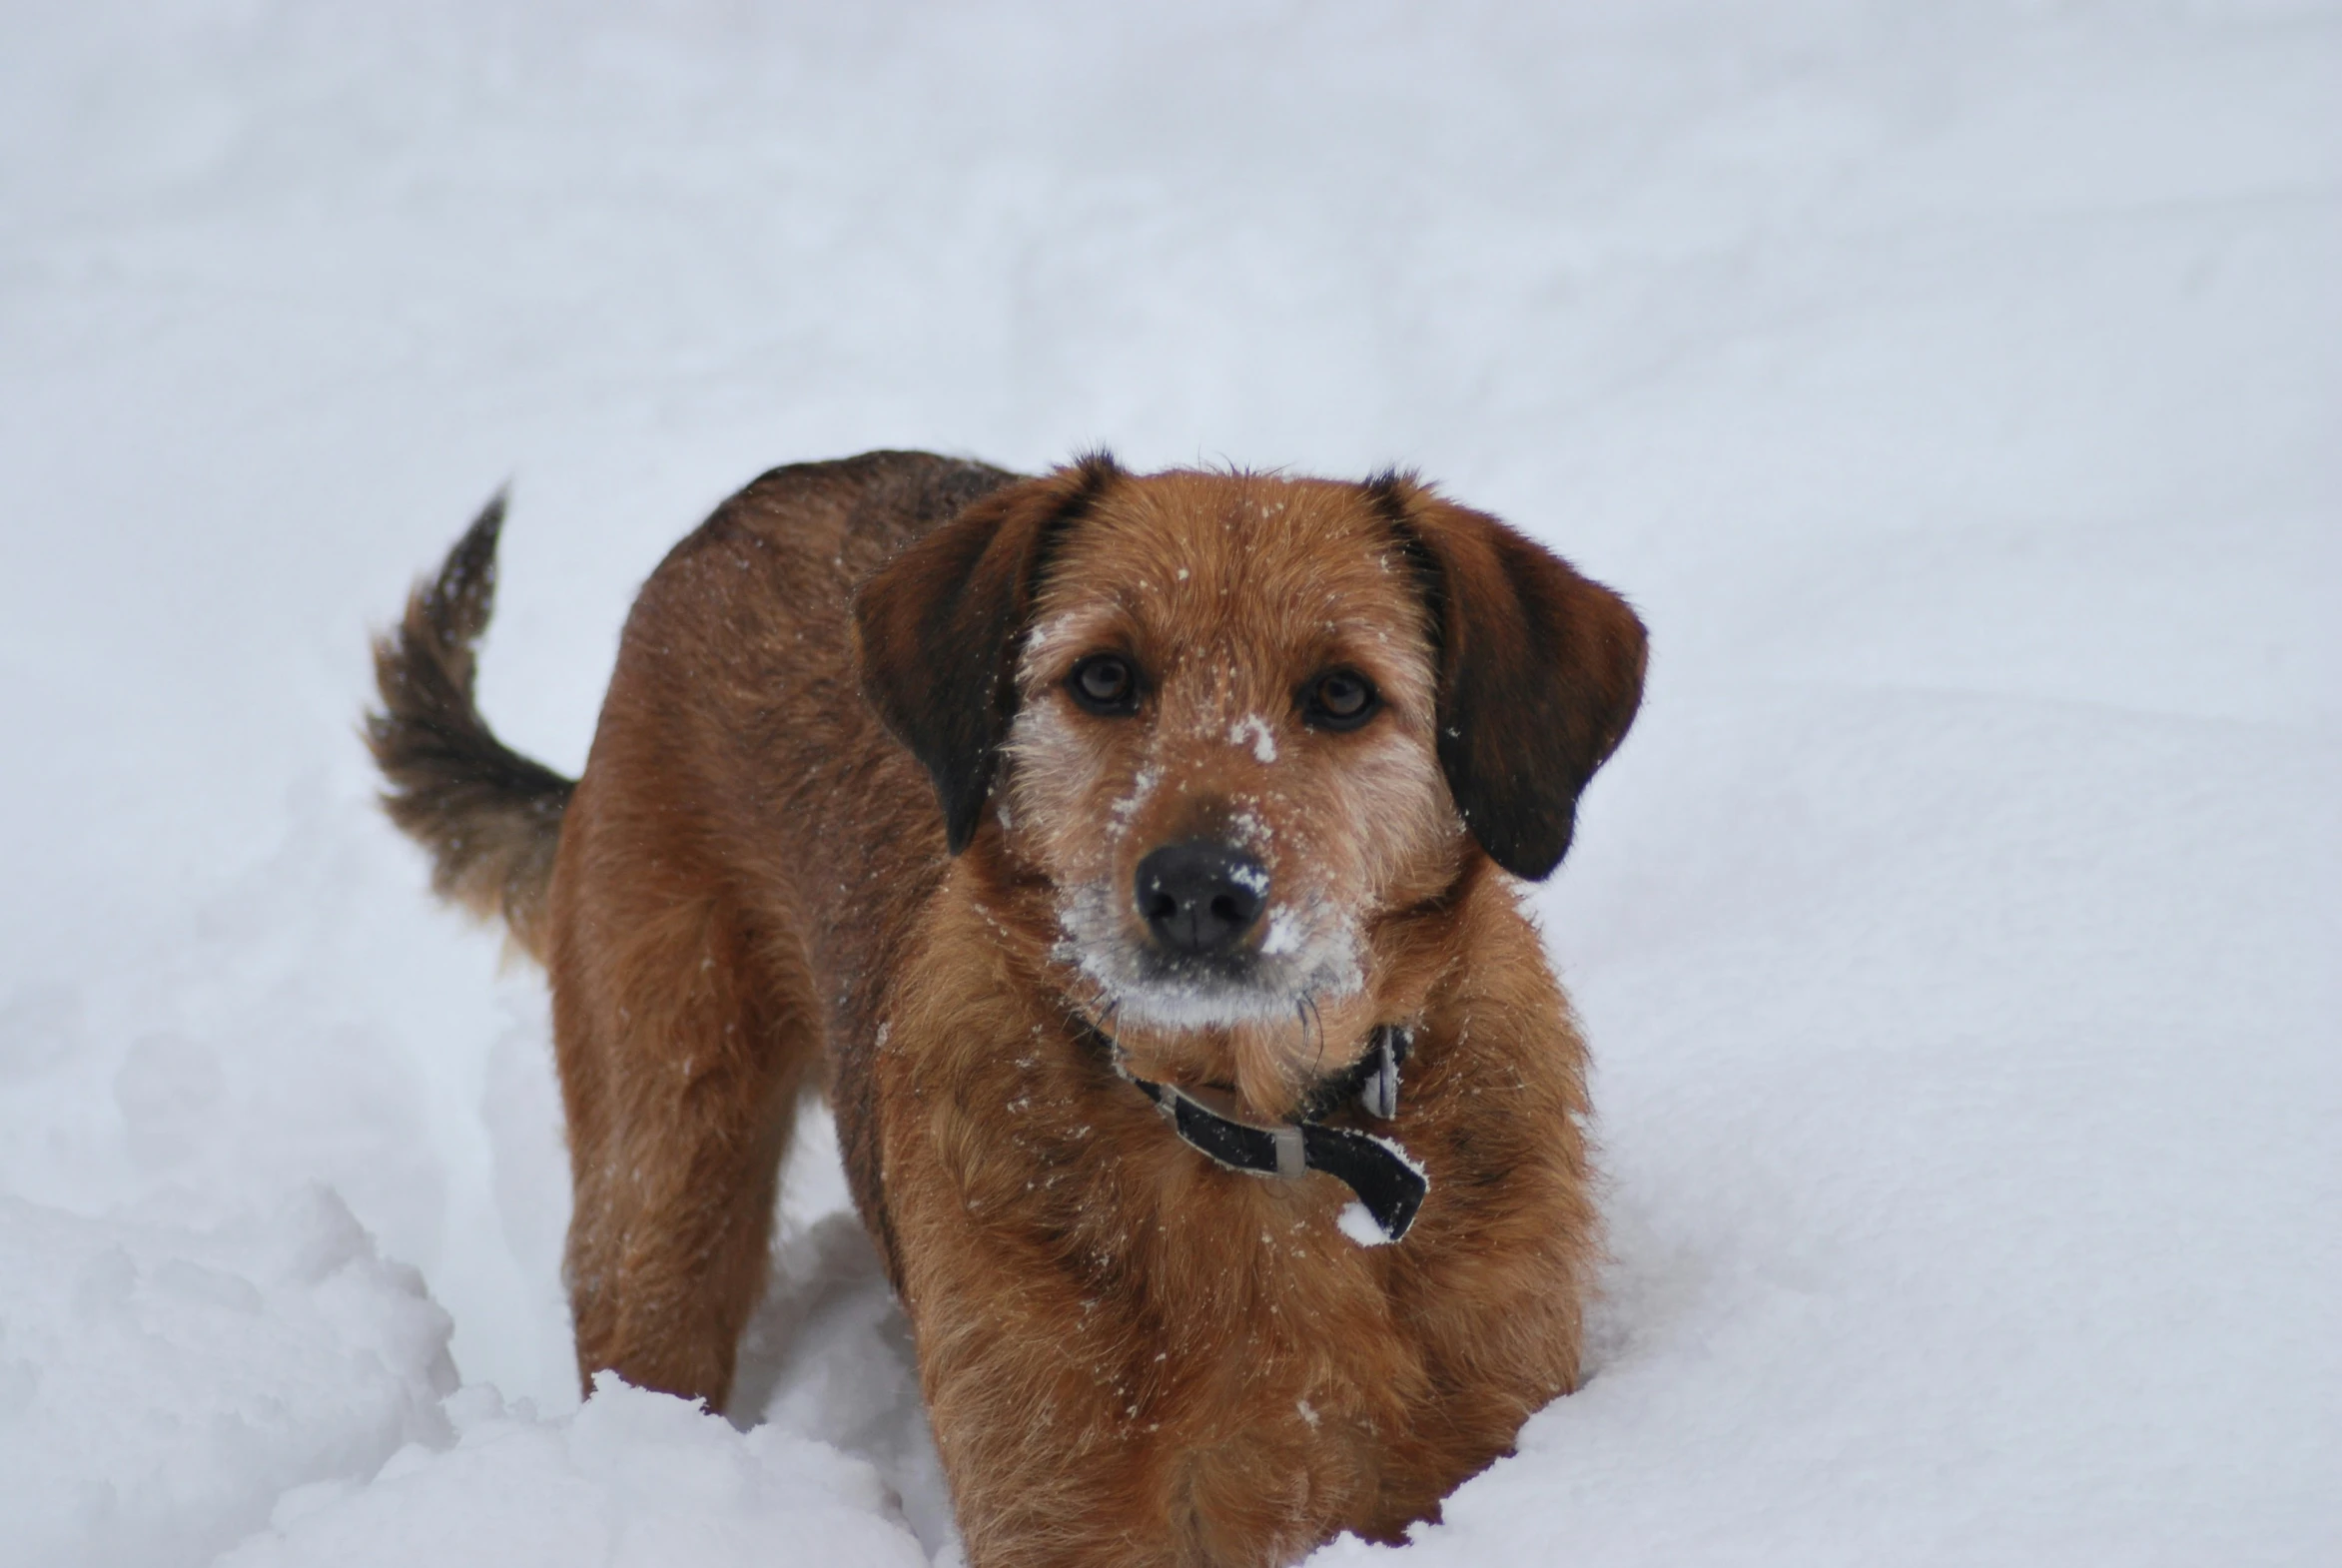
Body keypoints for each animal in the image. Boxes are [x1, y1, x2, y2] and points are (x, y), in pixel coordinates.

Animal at [365, 448, 1648, 1563]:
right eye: (1102, 677)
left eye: (1341, 694)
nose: (1197, 890)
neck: (1249, 1131)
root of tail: (750, 506)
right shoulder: (1060, 1510)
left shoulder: (1474, 1441)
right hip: (669, 1160)